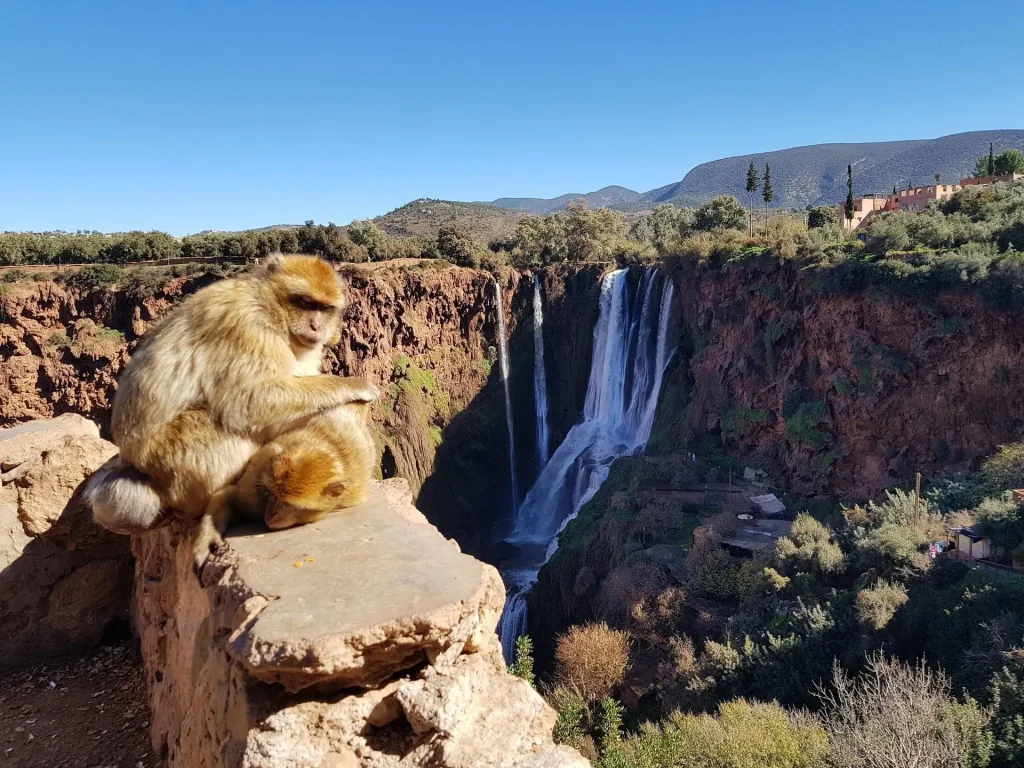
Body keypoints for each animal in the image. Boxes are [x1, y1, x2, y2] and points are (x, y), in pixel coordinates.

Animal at [86, 254, 379, 535]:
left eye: (324, 308)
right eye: (305, 302)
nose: (317, 327)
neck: (269, 308)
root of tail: (134, 464)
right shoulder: (247, 327)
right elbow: (252, 401)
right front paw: (355, 385)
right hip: (174, 463)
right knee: (226, 427)